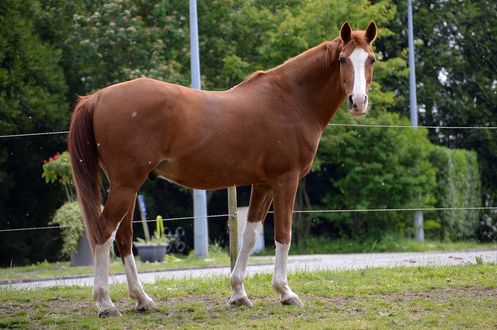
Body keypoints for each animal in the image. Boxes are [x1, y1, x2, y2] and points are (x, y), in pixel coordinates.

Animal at [67, 21, 376, 316]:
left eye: (371, 59)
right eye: (342, 60)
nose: (358, 102)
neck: (290, 100)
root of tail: (97, 97)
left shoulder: (263, 184)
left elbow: (249, 236)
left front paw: (239, 293)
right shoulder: (285, 181)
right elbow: (283, 234)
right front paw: (285, 292)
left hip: (129, 187)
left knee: (123, 237)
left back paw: (142, 299)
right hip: (126, 185)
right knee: (104, 232)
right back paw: (106, 303)